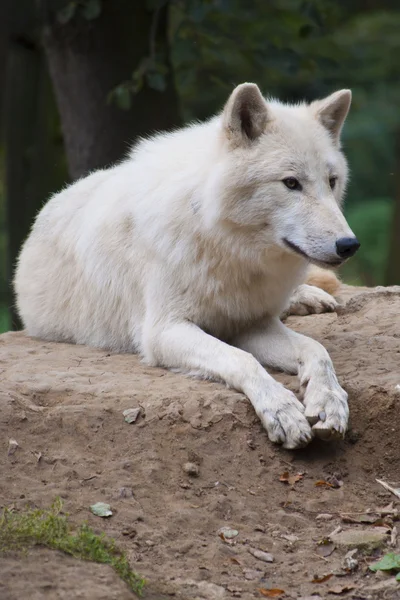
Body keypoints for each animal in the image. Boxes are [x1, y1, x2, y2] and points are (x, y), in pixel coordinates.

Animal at [14, 84, 360, 450]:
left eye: (332, 181)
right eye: (291, 183)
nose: (349, 245)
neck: (228, 247)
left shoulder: (251, 324)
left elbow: (317, 350)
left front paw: (330, 402)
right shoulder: (164, 331)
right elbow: (242, 360)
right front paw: (282, 411)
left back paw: (309, 297)